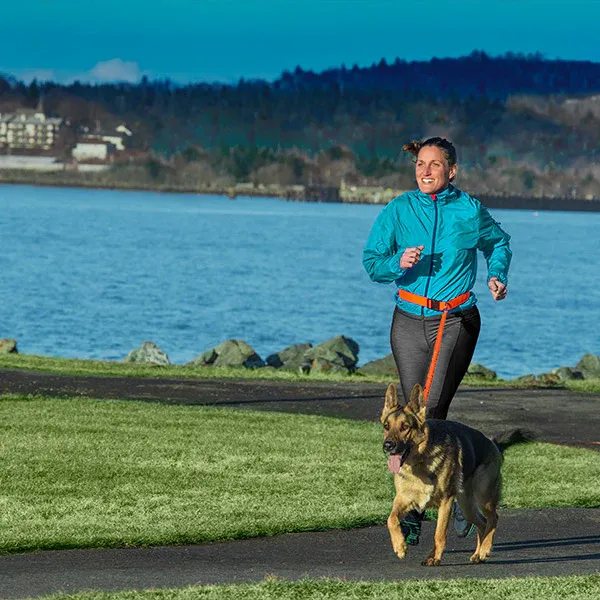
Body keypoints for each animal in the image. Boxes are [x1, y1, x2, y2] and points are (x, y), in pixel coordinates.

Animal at [382, 382, 532, 564]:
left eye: (405, 427)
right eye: (386, 426)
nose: (387, 445)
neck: (420, 463)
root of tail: (493, 443)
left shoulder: (445, 502)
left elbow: (439, 533)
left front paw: (435, 557)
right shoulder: (403, 499)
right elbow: (391, 519)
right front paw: (400, 546)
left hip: (484, 498)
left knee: (493, 519)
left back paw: (485, 549)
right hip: (466, 506)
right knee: (482, 523)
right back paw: (477, 554)